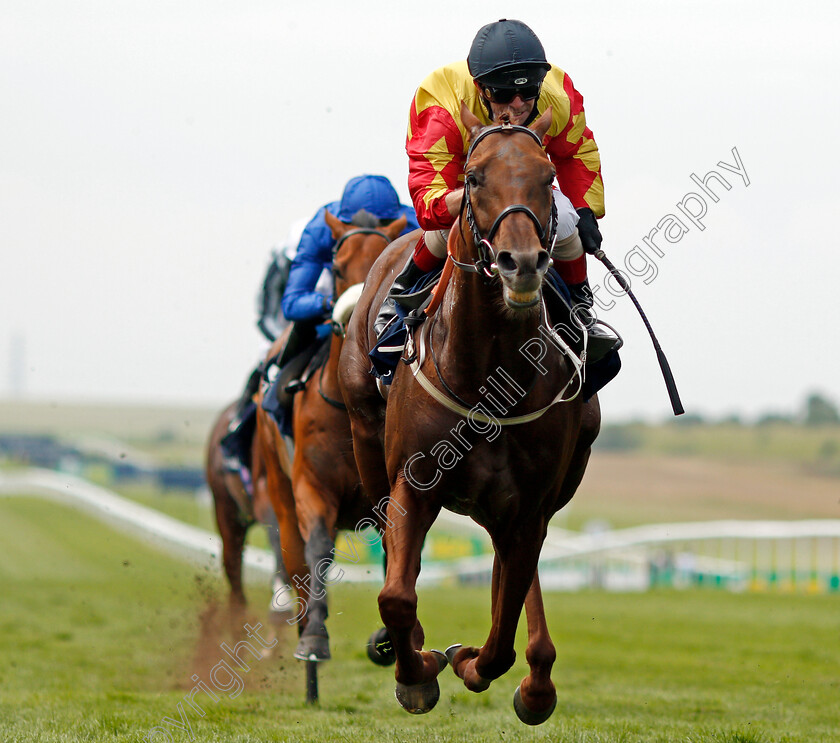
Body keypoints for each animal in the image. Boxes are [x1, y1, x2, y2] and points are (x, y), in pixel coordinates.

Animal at [260, 212, 410, 664]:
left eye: (382, 260)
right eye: (338, 267)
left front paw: (389, 638)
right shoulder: (313, 486)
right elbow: (320, 548)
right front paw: (315, 638)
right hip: (280, 495)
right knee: (296, 566)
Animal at [338, 106, 600, 728]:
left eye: (547, 179)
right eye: (475, 178)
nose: (521, 263)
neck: (488, 375)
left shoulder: (528, 505)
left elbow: (503, 629)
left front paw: (471, 661)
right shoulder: (414, 484)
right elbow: (396, 595)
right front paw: (416, 673)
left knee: (515, 577)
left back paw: (535, 680)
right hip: (367, 441)